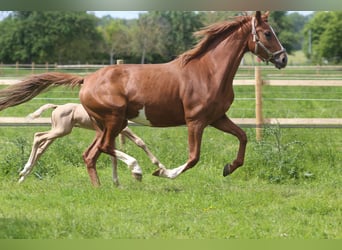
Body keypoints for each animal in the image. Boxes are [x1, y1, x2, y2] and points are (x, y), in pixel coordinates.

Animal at [0, 11, 288, 186]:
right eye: (267, 33)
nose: (283, 59)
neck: (207, 71)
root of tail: (86, 79)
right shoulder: (195, 121)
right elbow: (193, 157)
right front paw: (164, 171)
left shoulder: (217, 118)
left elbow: (243, 137)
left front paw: (229, 167)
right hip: (114, 120)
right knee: (103, 148)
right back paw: (135, 170)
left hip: (104, 124)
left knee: (91, 154)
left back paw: (101, 187)